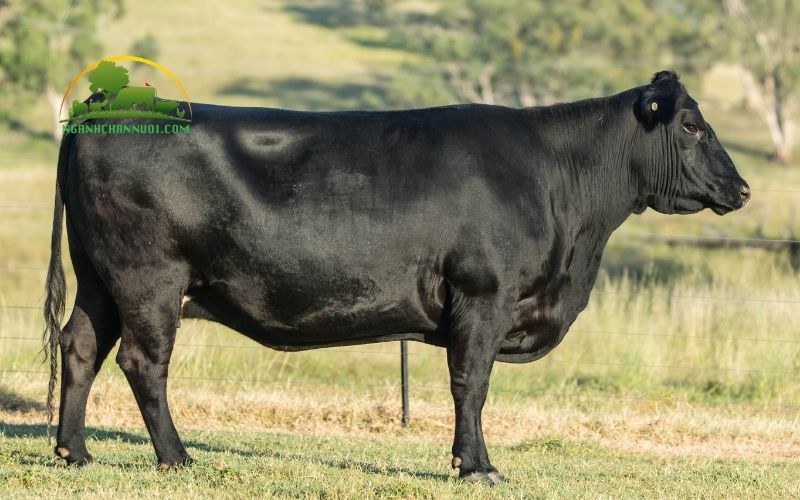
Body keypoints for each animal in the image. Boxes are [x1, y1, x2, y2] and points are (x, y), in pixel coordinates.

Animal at [43, 71, 749, 483]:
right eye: (692, 125)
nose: (741, 188)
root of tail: (104, 106)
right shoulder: (484, 296)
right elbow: (471, 384)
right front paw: (476, 467)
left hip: (100, 280)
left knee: (80, 345)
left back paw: (73, 452)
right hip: (150, 277)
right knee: (142, 360)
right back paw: (176, 457)